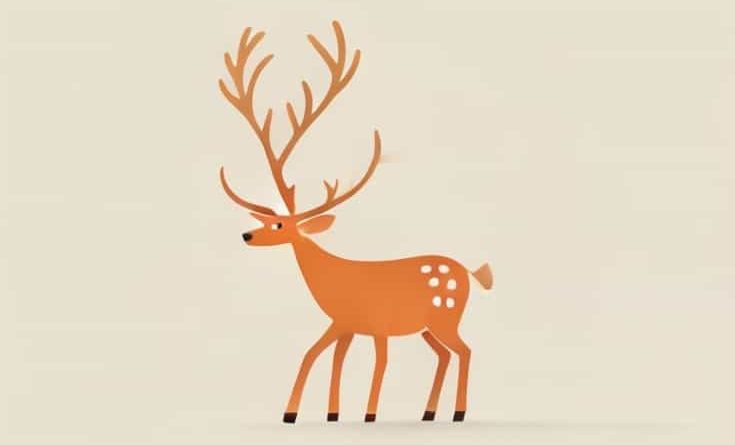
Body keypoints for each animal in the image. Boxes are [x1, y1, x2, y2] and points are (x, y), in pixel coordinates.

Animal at [218, 20, 493, 424]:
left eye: (280, 225)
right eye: (267, 221)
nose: (246, 234)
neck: (333, 278)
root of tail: (469, 272)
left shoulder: (376, 324)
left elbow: (377, 364)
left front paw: (367, 415)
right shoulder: (344, 324)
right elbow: (322, 357)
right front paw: (318, 414)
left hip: (446, 316)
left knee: (465, 350)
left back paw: (457, 413)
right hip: (427, 327)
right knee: (445, 353)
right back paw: (428, 413)